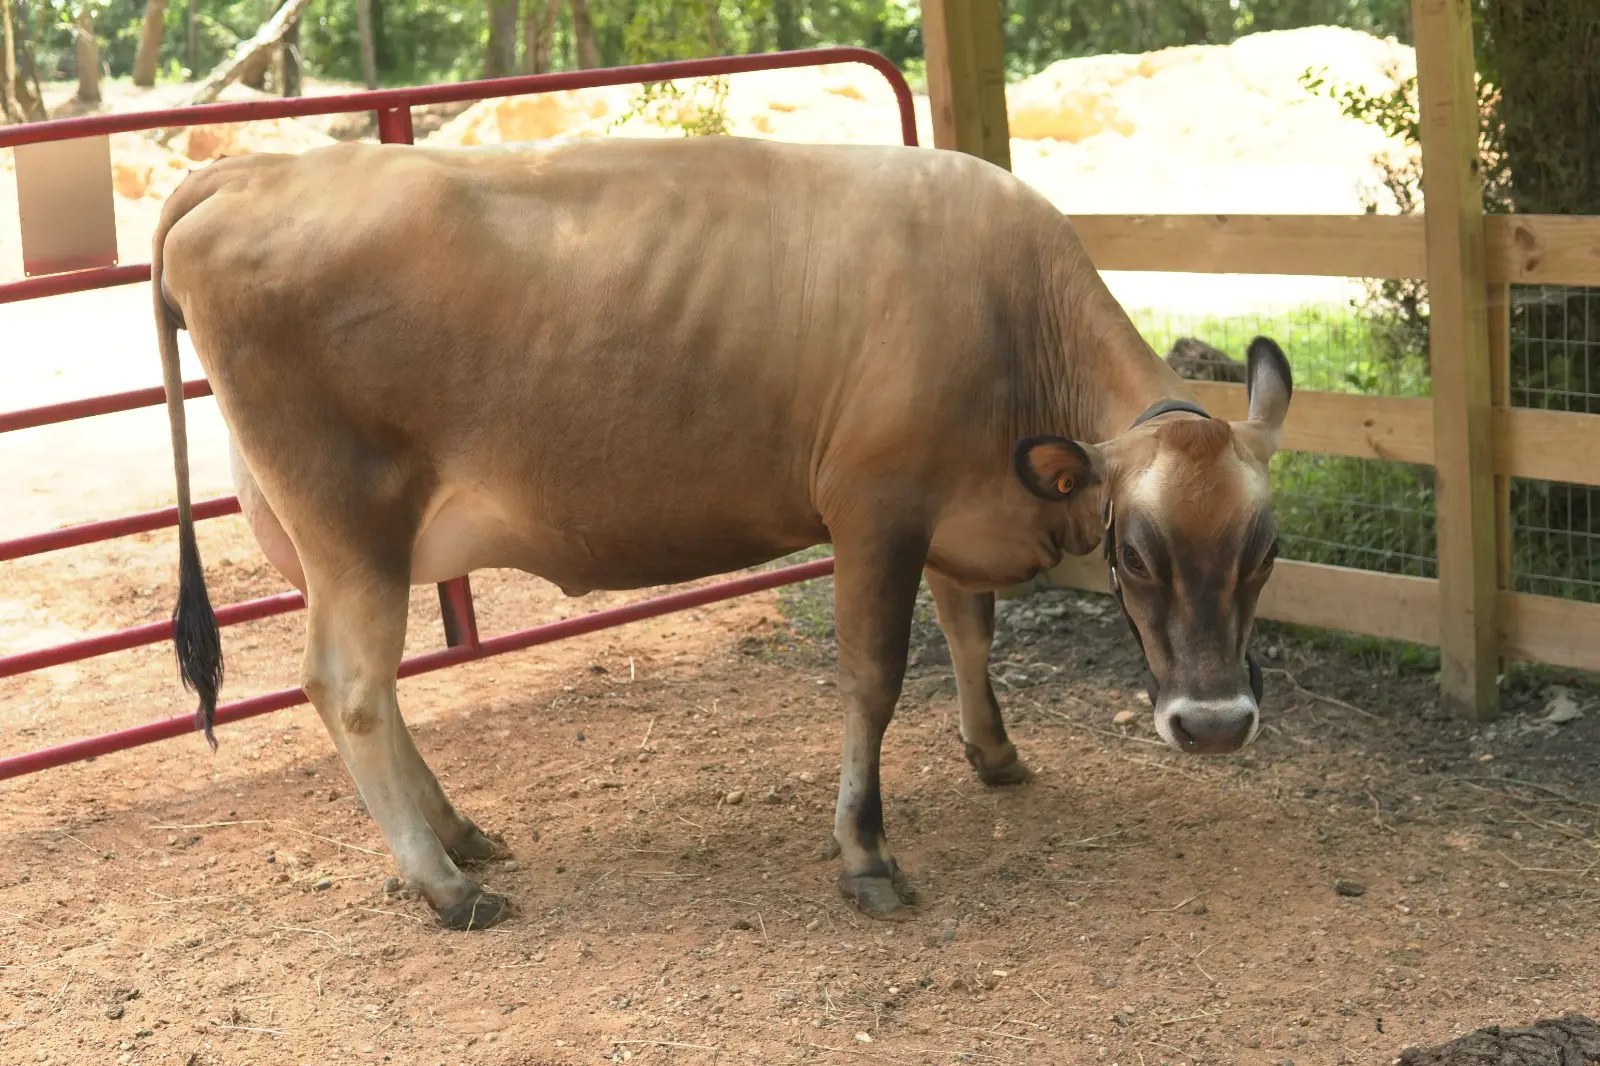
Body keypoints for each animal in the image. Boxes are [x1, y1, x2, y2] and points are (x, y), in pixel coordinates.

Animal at [150, 135, 1292, 931]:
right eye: (1134, 551)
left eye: (1266, 550)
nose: (1215, 724)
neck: (1008, 312)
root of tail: (246, 171)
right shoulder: (876, 508)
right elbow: (875, 676)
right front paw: (865, 855)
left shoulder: (955, 500)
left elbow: (972, 631)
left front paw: (996, 751)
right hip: (353, 526)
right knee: (348, 687)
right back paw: (442, 884)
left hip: (326, 544)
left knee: (377, 691)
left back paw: (459, 835)